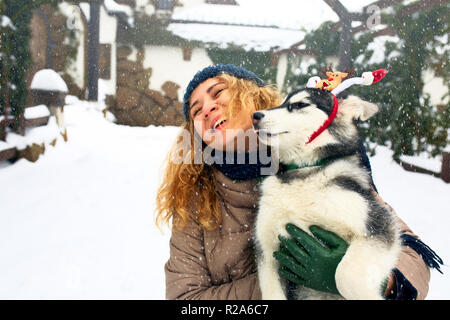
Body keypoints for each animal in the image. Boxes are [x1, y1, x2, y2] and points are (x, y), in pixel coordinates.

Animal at [253, 88, 400, 300]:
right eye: (281, 103)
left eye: (299, 105)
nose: (254, 116)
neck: (304, 172)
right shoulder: (266, 250)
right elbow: (272, 292)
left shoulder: (378, 223)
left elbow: (344, 275)